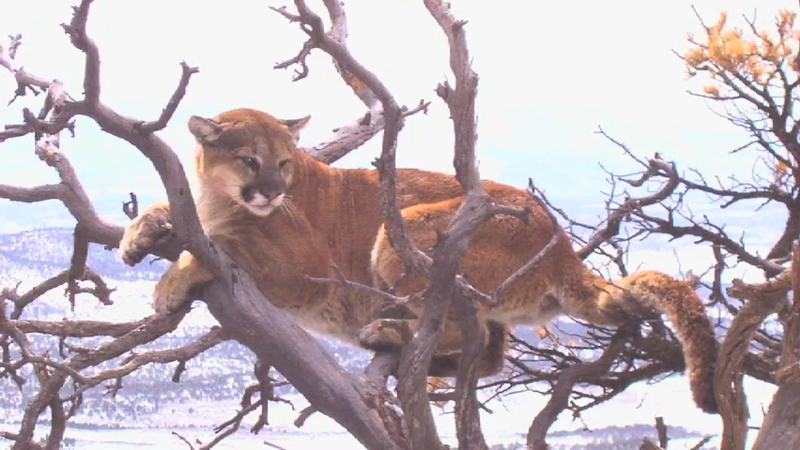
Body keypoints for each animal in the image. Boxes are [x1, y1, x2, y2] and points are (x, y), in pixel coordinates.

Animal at [119, 108, 719, 414]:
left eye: (284, 163)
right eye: (250, 160)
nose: (270, 191)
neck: (217, 198)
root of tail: (561, 241)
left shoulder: (300, 270)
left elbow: (222, 247)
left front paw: (169, 283)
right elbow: (177, 217)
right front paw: (137, 232)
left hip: (403, 232)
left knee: (453, 325)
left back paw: (388, 333)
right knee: (490, 354)